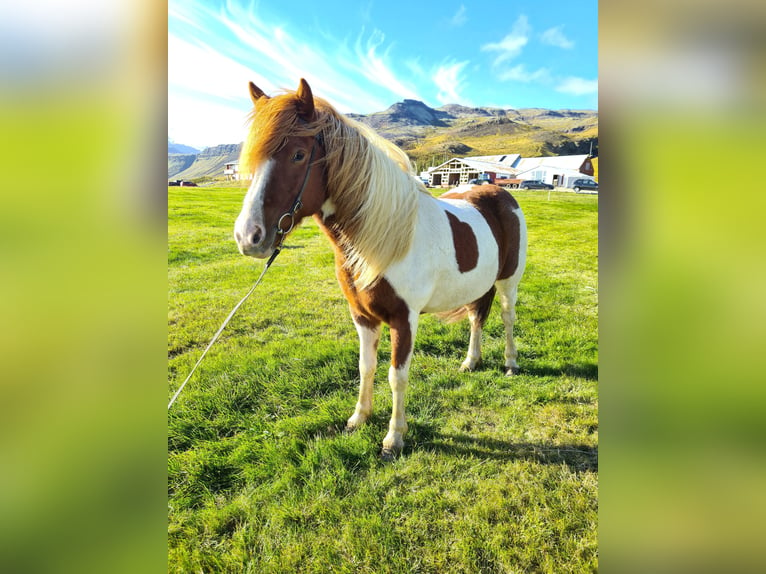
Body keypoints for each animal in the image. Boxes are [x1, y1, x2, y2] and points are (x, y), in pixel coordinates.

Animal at [234, 80, 528, 460]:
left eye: (298, 155)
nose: (248, 237)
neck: (383, 240)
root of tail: (498, 191)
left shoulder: (404, 319)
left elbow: (396, 376)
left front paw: (394, 438)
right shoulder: (362, 316)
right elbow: (366, 366)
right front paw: (359, 418)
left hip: (508, 281)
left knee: (506, 318)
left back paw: (510, 364)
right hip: (479, 285)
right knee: (477, 318)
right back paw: (471, 362)